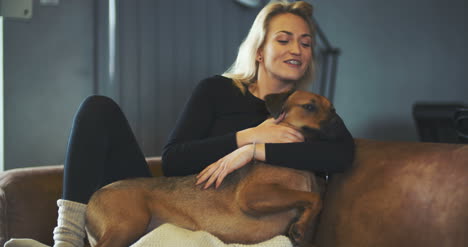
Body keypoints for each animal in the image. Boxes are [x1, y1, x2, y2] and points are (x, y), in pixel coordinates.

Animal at [85, 91, 348, 247]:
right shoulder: (252, 195)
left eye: (333, 109)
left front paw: (301, 225)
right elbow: (313, 198)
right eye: (309, 107)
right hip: (129, 222)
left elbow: (313, 200)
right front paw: (301, 226)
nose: (340, 123)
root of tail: (93, 197)